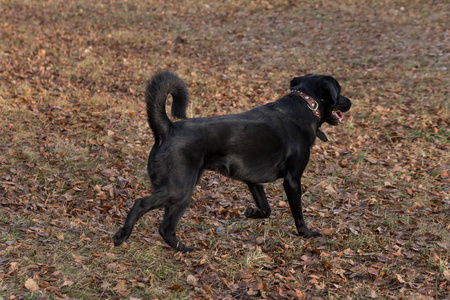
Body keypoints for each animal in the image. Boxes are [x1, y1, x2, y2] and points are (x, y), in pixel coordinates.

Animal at [112, 71, 352, 252]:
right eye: (340, 91)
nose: (351, 102)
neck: (305, 105)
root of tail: (167, 129)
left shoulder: (252, 180)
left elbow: (266, 209)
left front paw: (252, 213)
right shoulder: (293, 180)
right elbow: (298, 213)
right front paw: (306, 233)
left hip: (180, 193)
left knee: (166, 228)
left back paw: (185, 249)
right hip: (179, 190)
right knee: (141, 204)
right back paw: (122, 235)